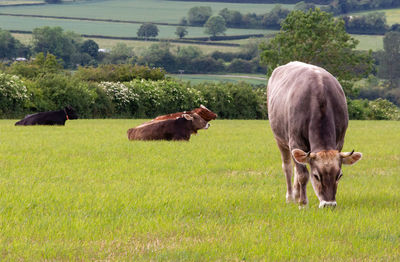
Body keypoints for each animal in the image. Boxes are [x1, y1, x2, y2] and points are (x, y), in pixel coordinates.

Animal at [268, 62, 364, 209]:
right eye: (316, 176)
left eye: (339, 175)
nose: (329, 204)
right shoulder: (295, 141)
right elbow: (302, 175)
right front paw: (303, 203)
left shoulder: (339, 142)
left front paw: (301, 198)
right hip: (280, 140)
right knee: (288, 167)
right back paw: (290, 197)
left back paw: (296, 194)